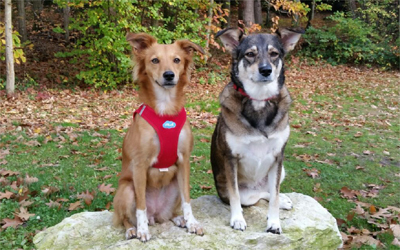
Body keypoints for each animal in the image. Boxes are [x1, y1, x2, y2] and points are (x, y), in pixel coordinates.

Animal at [113, 33, 205, 242]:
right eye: (154, 60)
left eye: (177, 60)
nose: (169, 75)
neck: (166, 109)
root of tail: (155, 215)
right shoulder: (139, 165)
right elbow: (140, 206)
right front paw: (142, 230)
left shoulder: (184, 161)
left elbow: (188, 199)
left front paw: (192, 223)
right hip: (126, 189)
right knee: (125, 217)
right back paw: (132, 229)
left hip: (174, 186)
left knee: (169, 214)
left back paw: (179, 219)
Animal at [211, 27, 302, 234]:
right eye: (250, 54)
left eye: (274, 53)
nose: (266, 70)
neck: (260, 100)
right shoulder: (231, 158)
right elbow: (235, 196)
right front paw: (237, 220)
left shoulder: (278, 156)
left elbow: (274, 195)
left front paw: (274, 222)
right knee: (256, 197)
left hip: (281, 171)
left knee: (268, 192)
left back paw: (283, 200)